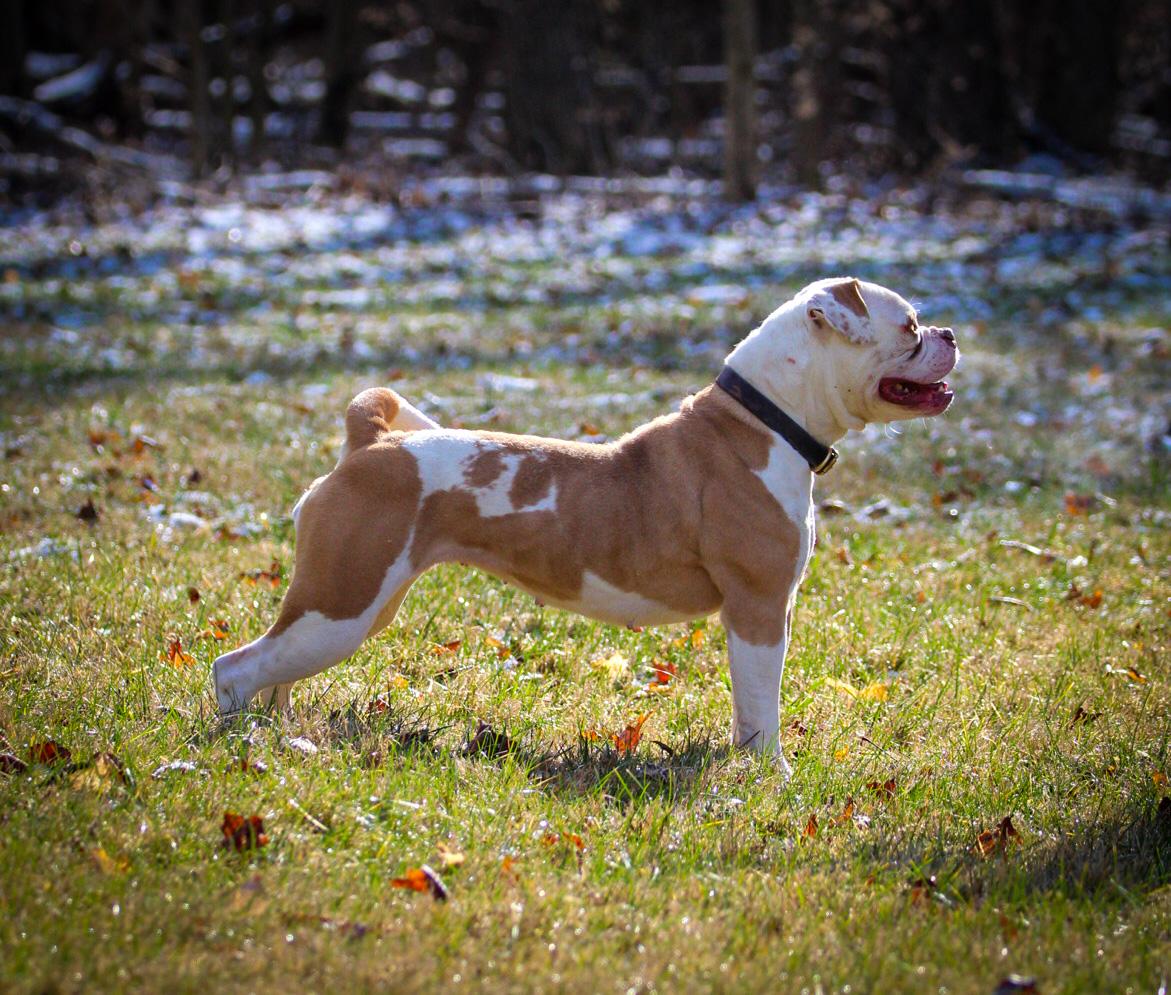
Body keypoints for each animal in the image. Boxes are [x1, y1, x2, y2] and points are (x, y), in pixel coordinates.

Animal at [215, 275, 955, 772]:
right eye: (909, 326)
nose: (949, 334)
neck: (765, 421)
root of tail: (371, 443)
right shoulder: (757, 607)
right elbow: (760, 706)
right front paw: (771, 776)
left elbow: (750, 708)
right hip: (342, 603)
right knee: (236, 667)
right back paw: (240, 742)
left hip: (353, 604)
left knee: (276, 670)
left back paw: (283, 736)